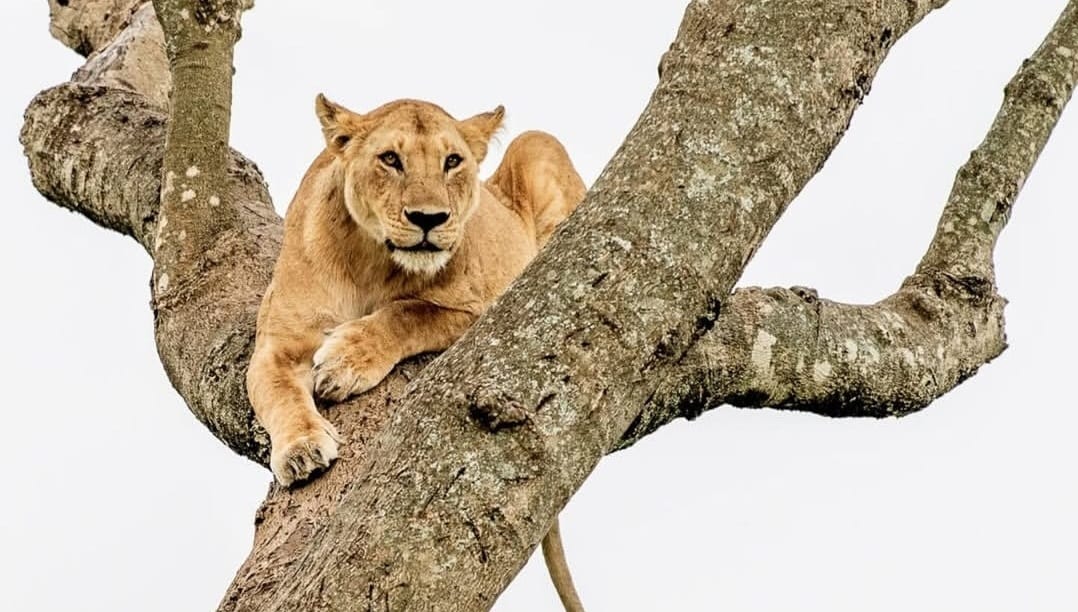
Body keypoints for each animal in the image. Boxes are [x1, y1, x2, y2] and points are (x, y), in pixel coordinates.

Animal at [245, 95, 588, 611]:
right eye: (390, 159)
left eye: (452, 162)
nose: (430, 219)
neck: (370, 260)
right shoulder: (276, 342)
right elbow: (277, 394)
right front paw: (302, 450)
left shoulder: (486, 305)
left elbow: (408, 311)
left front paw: (346, 359)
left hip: (538, 145)